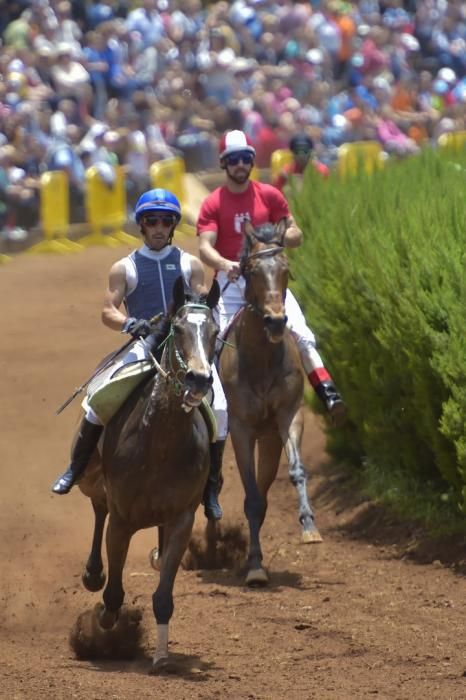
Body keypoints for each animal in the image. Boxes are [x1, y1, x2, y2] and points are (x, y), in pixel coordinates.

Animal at [77, 276, 220, 668]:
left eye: (215, 331)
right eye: (179, 328)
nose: (199, 379)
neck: (160, 443)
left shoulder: (182, 518)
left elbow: (163, 596)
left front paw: (161, 657)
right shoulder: (122, 518)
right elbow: (113, 593)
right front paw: (105, 622)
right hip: (90, 479)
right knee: (97, 508)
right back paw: (92, 574)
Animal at [218, 219, 320, 584]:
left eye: (285, 269)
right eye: (252, 271)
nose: (276, 320)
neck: (261, 359)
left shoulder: (288, 415)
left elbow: (294, 472)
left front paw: (309, 527)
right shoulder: (241, 427)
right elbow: (249, 496)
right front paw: (255, 568)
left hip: (270, 440)